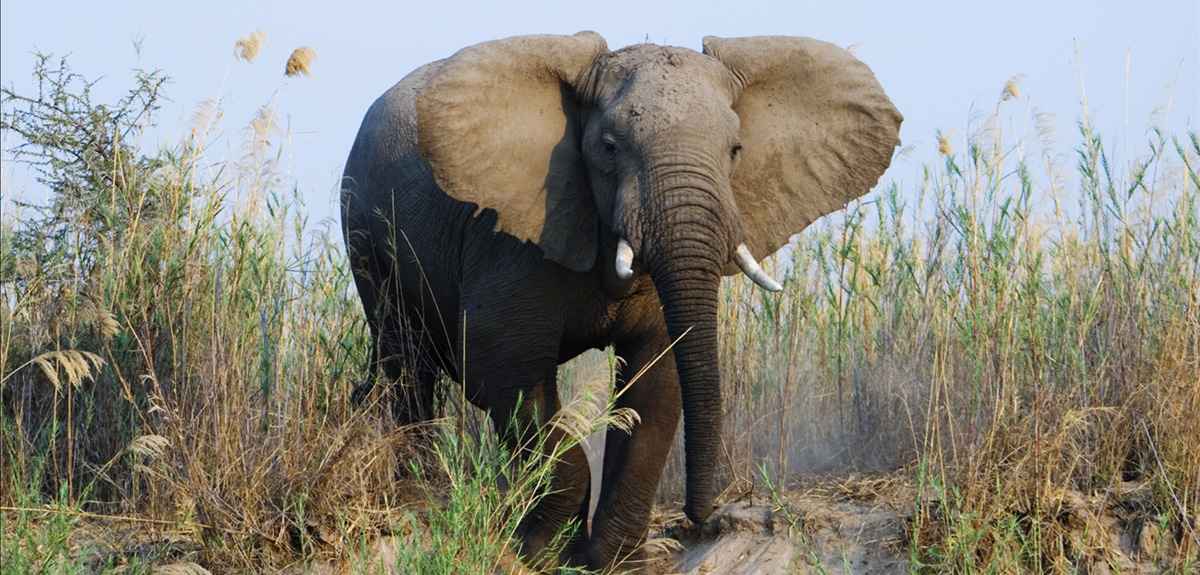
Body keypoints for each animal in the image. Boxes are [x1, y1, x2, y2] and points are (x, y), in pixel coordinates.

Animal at [340, 32, 902, 571]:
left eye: (736, 149)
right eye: (609, 148)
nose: (701, 517)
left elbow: (656, 382)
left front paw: (615, 562)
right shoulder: (511, 236)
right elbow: (501, 369)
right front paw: (545, 554)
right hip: (365, 228)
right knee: (406, 361)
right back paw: (418, 496)